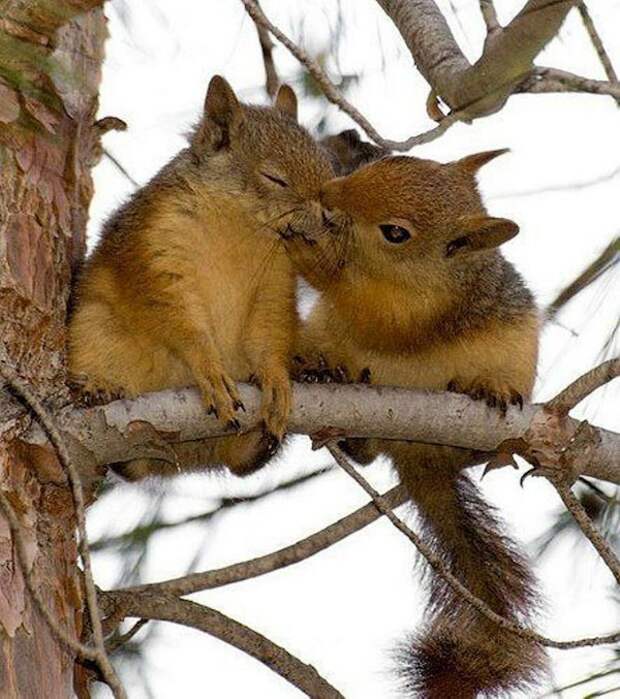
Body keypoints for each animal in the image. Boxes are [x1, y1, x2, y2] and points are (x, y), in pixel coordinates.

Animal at [68, 76, 334, 482]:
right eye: (275, 178)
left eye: (326, 165)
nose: (329, 217)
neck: (241, 227)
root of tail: (189, 457)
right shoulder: (155, 250)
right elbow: (176, 318)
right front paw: (209, 368)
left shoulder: (276, 279)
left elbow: (270, 328)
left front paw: (275, 376)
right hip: (93, 330)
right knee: (131, 467)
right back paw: (99, 390)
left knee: (240, 464)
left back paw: (271, 427)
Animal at [284, 152, 544, 699]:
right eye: (385, 162)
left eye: (396, 233)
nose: (329, 193)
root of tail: (419, 458)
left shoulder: (418, 310)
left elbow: (376, 313)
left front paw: (309, 254)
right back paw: (332, 392)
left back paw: (485, 390)